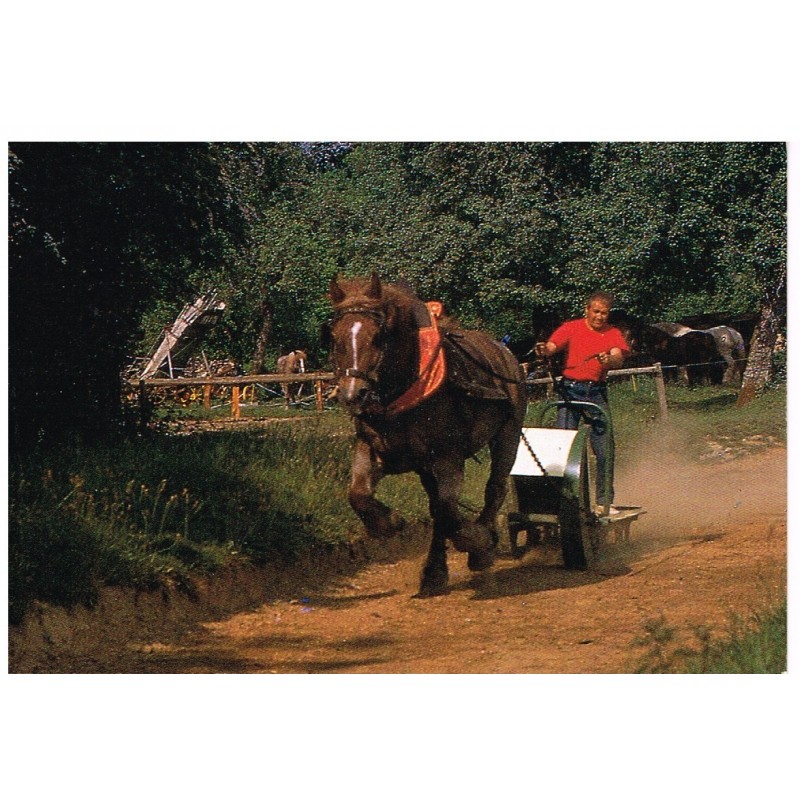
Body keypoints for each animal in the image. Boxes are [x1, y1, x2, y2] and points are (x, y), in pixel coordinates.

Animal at [328, 274, 528, 592]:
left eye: (378, 337)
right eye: (335, 338)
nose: (353, 394)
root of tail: (506, 353)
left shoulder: (448, 455)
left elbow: (448, 511)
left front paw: (478, 543)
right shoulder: (374, 448)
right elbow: (357, 494)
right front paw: (389, 523)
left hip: (508, 434)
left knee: (493, 489)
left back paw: (482, 542)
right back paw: (435, 570)